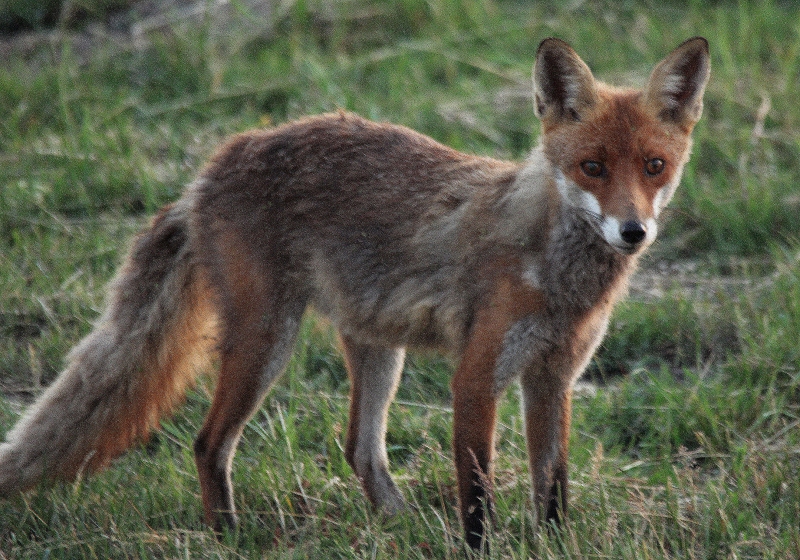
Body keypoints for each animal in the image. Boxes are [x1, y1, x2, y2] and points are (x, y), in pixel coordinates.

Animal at [0, 38, 708, 552]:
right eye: (592, 167)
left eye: (654, 167)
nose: (633, 231)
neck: (557, 274)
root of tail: (210, 166)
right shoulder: (477, 376)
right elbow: (477, 497)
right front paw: (477, 547)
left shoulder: (554, 377)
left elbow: (552, 490)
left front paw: (555, 545)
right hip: (266, 342)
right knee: (208, 444)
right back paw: (228, 537)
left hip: (376, 349)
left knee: (359, 450)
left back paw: (398, 523)